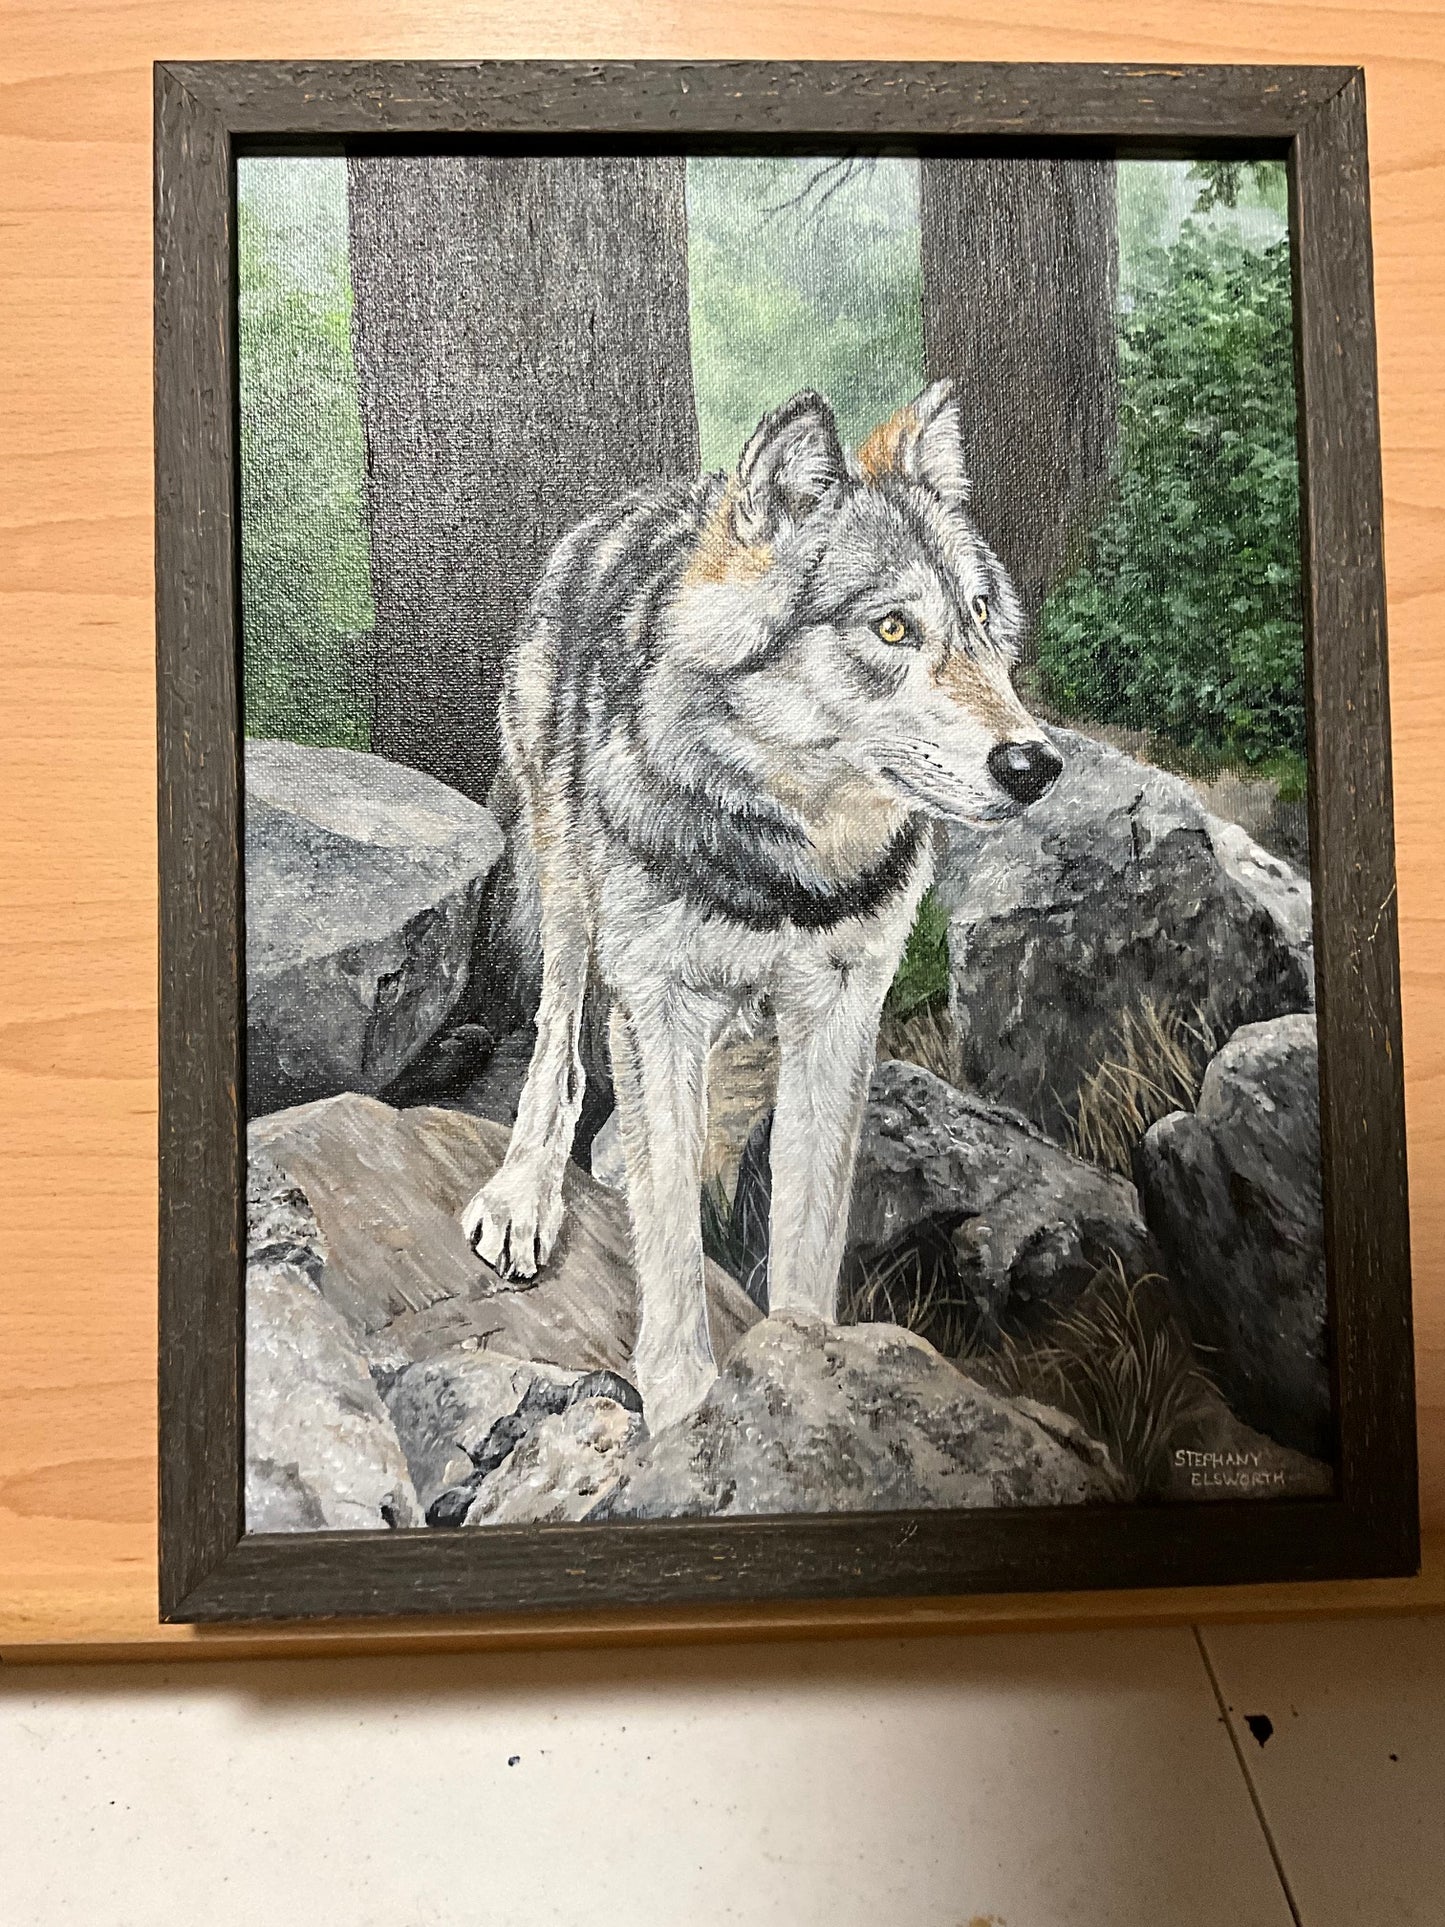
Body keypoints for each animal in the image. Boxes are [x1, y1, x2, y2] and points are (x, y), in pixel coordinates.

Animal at [461, 381, 1063, 1432]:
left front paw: (810, 1366)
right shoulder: (658, 999)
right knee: (558, 1049)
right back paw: (527, 1191)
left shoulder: (841, 1009)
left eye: (982, 616)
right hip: (567, 889)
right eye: (892, 629)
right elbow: (666, 1231)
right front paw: (684, 1405)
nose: (1035, 764)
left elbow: (806, 1220)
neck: (788, 861)